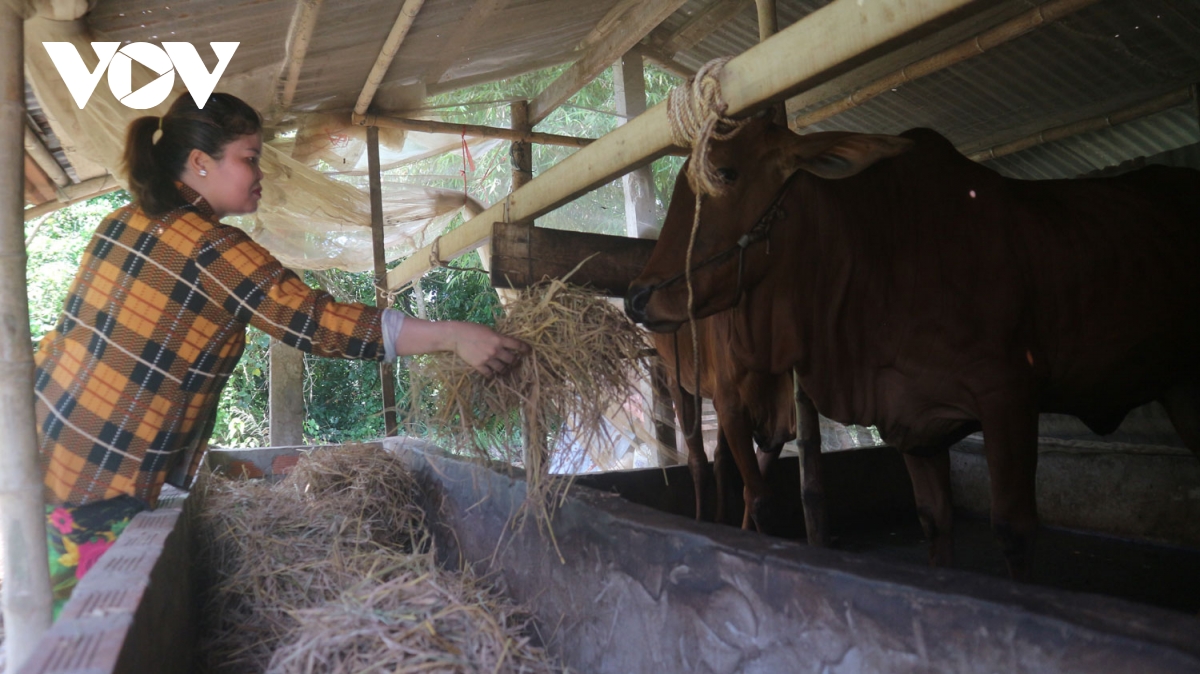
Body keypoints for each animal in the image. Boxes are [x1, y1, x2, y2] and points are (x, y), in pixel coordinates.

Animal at [652, 316, 792, 530]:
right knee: (697, 459)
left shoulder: (778, 424)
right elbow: (759, 499)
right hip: (679, 379)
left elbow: (754, 485)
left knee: (720, 455)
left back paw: (721, 519)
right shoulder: (733, 410)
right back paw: (701, 518)